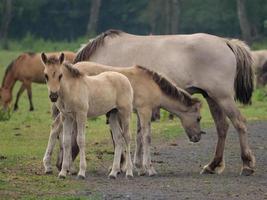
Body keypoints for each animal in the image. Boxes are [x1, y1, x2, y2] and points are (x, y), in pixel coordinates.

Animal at [44, 61, 204, 177]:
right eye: (198, 118)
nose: (197, 138)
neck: (151, 84)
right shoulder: (144, 110)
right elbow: (146, 137)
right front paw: (149, 169)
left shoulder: (139, 113)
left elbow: (139, 137)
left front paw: (138, 167)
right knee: (56, 128)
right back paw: (53, 166)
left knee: (56, 128)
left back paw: (59, 167)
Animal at [75, 29, 258, 175]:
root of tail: (225, 42)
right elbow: (138, 134)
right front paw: (137, 165)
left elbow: (120, 136)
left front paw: (122, 166)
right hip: (212, 98)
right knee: (222, 127)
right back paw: (212, 165)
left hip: (223, 97)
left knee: (239, 123)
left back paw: (247, 165)